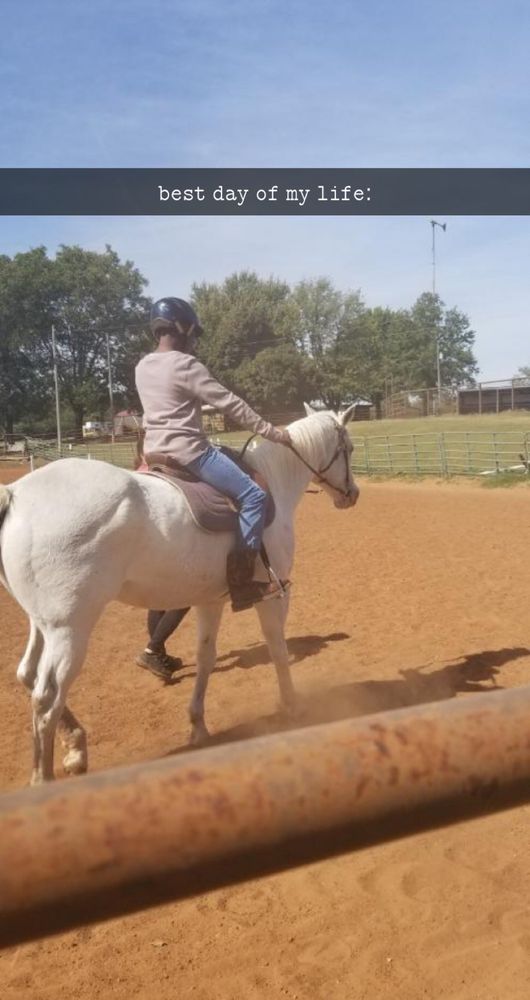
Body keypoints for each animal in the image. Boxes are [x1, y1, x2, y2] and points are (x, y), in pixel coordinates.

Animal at [0, 405, 359, 784]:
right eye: (348, 448)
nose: (352, 493)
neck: (272, 482)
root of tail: (16, 494)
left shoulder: (210, 600)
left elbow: (206, 657)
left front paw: (198, 725)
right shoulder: (275, 596)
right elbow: (278, 649)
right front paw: (291, 705)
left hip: (43, 624)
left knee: (27, 675)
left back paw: (76, 747)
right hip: (69, 629)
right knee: (46, 698)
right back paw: (46, 777)